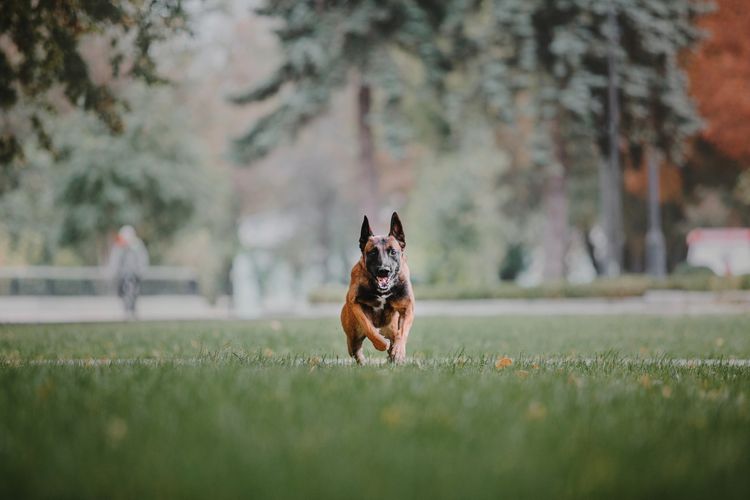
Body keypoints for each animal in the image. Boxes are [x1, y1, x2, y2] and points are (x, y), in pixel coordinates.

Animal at [342, 212, 418, 364]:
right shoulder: (355, 303)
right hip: (352, 337)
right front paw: (381, 344)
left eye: (393, 252)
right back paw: (363, 361)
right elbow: (368, 326)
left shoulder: (407, 308)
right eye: (372, 252)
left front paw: (398, 352)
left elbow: (402, 332)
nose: (384, 270)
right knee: (356, 350)